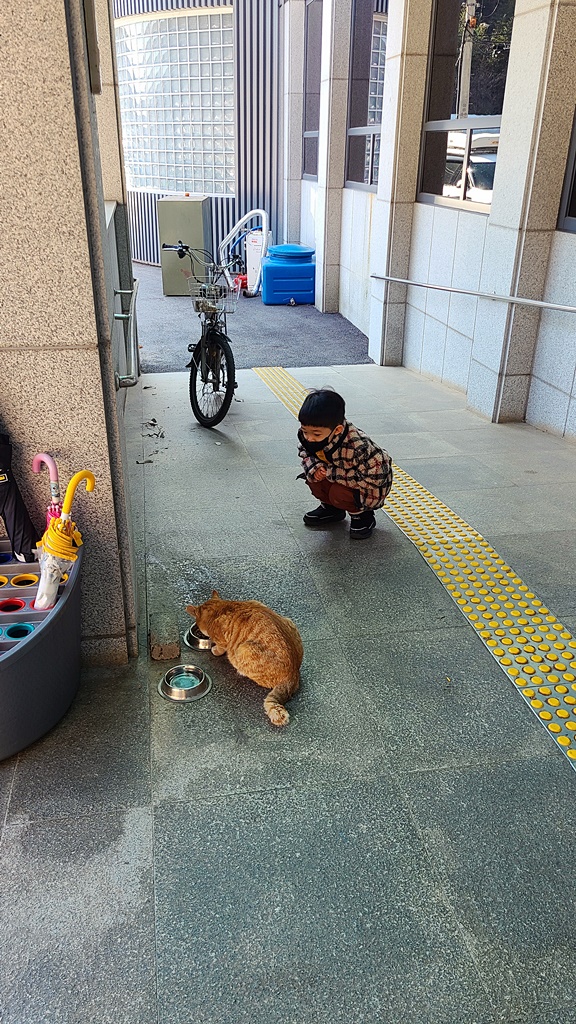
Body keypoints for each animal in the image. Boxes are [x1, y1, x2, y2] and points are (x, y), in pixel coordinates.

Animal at [184, 593, 303, 729]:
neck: (220, 608)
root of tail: (294, 674)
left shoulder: (222, 641)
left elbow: (220, 648)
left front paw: (215, 650)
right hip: (289, 621)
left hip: (245, 649)